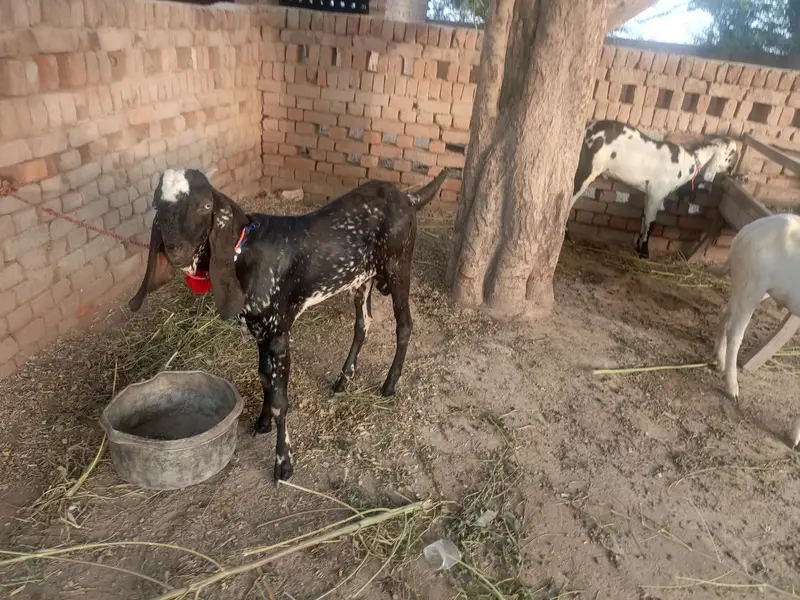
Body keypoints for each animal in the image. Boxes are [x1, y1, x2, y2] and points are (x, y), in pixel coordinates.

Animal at [128, 168, 448, 481]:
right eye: (157, 205)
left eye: (205, 206)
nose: (176, 250)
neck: (245, 252)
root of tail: (407, 197)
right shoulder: (259, 331)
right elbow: (264, 378)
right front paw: (262, 422)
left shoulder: (279, 332)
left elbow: (281, 399)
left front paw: (284, 463)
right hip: (361, 279)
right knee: (363, 324)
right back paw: (343, 380)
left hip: (398, 268)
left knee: (404, 325)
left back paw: (389, 384)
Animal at [571, 120, 739, 258]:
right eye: (731, 153)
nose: (733, 170)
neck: (687, 163)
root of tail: (588, 130)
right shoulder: (657, 193)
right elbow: (651, 222)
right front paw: (644, 252)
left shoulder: (648, 193)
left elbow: (644, 219)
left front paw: (638, 245)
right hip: (588, 168)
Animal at [713, 213, 800, 401]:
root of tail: (743, 234)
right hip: (751, 285)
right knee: (735, 332)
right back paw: (732, 389)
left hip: (749, 288)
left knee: (724, 311)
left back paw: (719, 360)